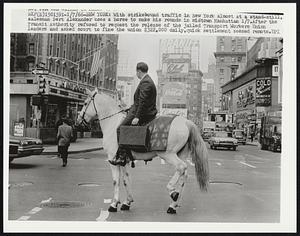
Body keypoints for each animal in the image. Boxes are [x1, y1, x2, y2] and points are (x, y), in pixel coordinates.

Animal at [77, 88, 209, 214]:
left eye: (85, 103)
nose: (78, 122)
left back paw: (172, 191)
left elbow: (116, 181)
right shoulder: (123, 161)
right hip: (181, 154)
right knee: (184, 174)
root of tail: (186, 121)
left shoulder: (112, 160)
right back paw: (173, 205)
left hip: (168, 154)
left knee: (181, 167)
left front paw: (114, 204)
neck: (113, 123)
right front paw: (127, 202)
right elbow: (126, 180)